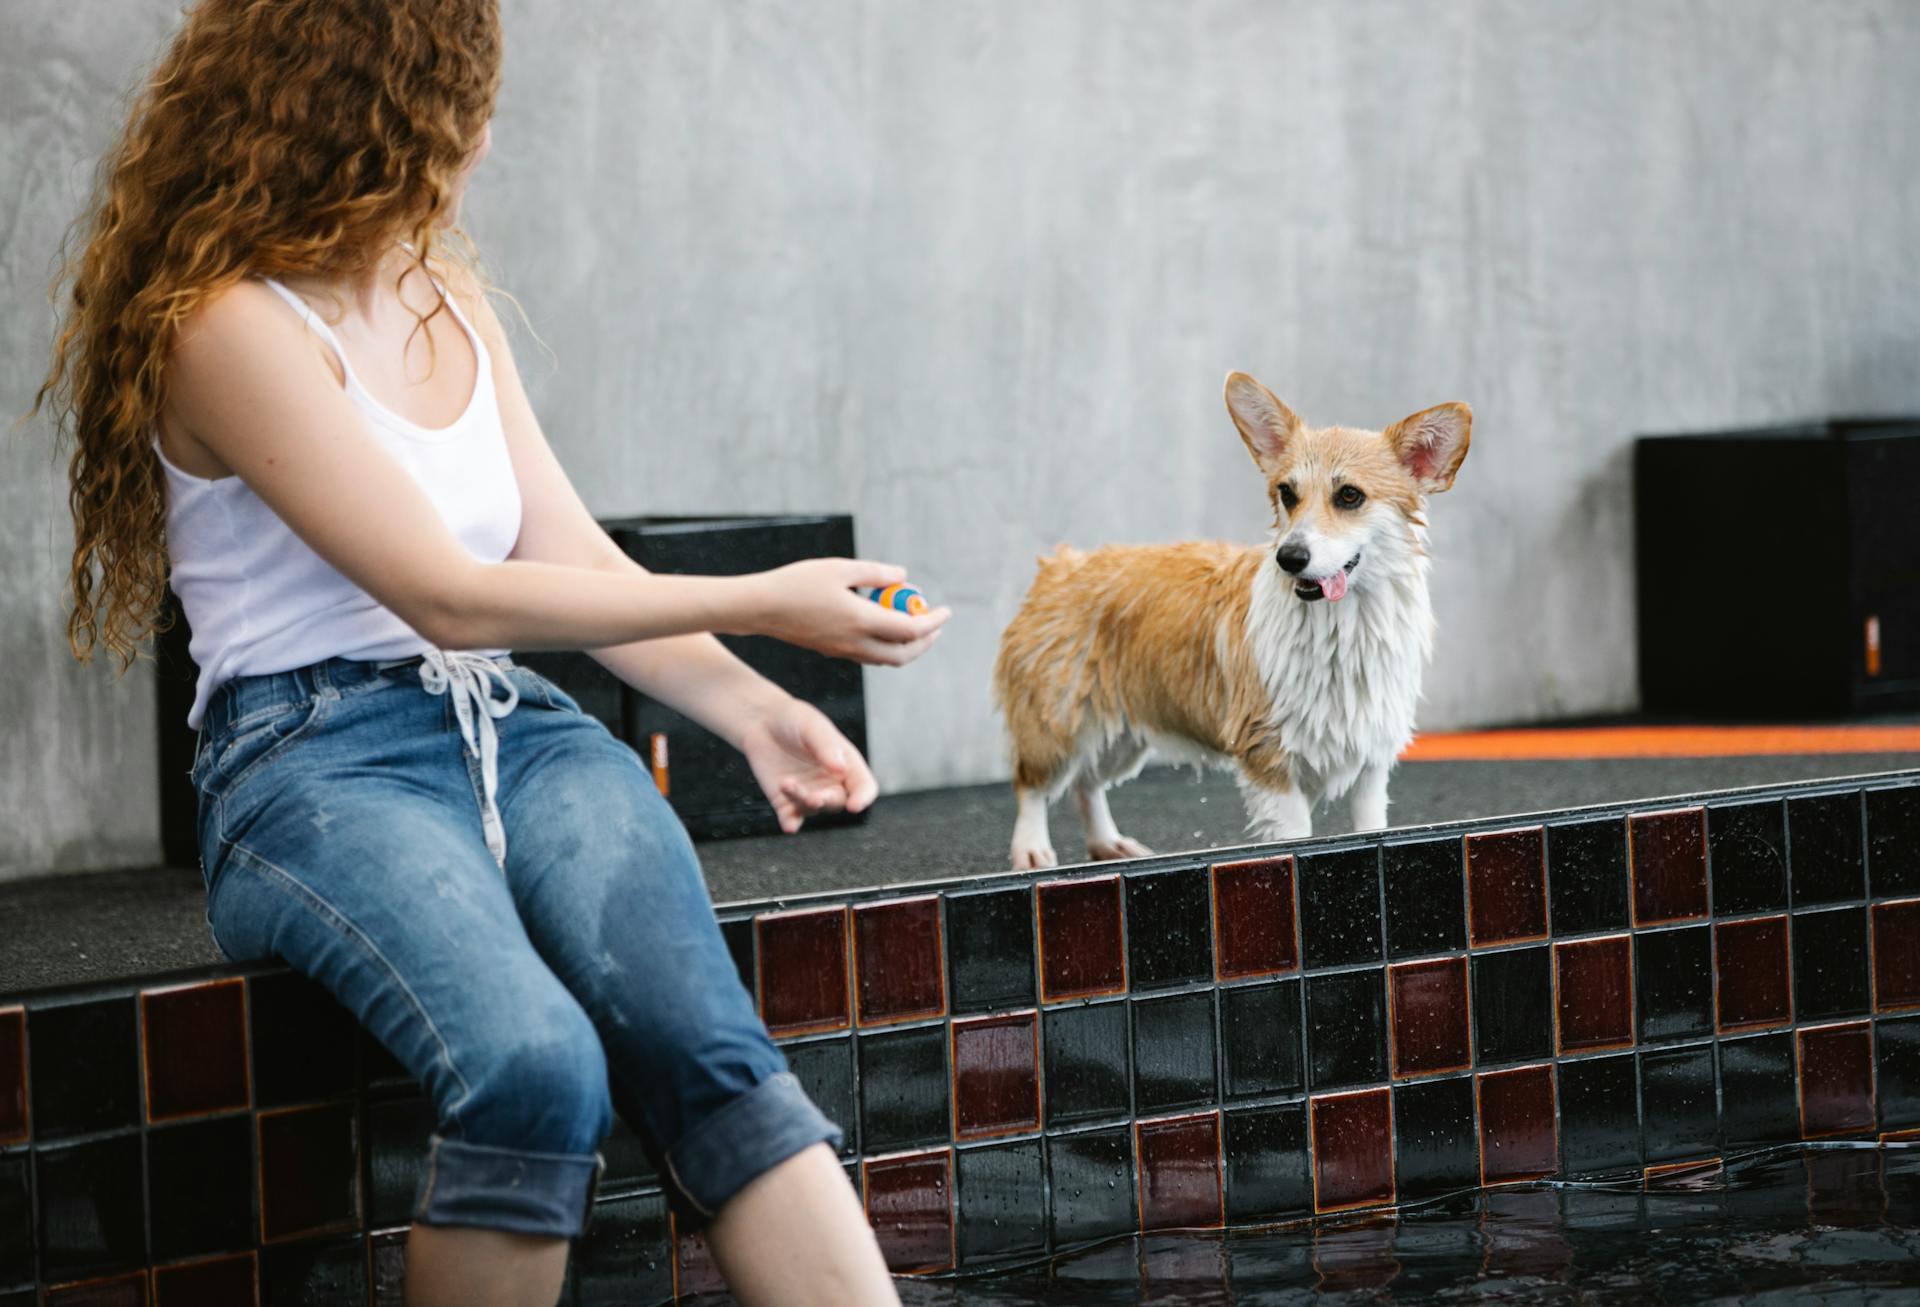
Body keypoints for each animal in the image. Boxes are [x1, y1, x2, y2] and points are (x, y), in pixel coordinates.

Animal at [990, 372, 1466, 867]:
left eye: (1349, 495)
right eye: (1287, 493)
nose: (1289, 558)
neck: (1343, 626)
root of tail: (1058, 565)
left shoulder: (1371, 760)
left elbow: (1372, 828)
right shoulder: (1270, 758)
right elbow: (1295, 837)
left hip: (1120, 735)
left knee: (1086, 783)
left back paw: (1107, 843)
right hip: (1058, 723)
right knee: (1032, 784)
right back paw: (1031, 850)